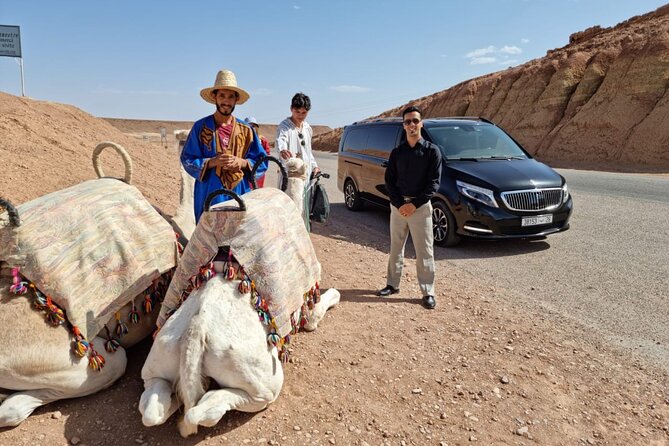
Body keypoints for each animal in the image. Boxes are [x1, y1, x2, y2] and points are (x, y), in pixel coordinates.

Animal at [140, 156, 340, 436]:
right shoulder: (306, 299)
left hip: (159, 361)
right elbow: (319, 310)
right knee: (208, 409)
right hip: (260, 377)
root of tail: (194, 332)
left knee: (153, 409)